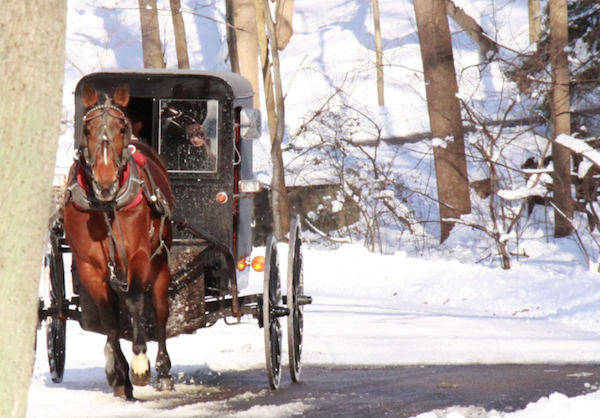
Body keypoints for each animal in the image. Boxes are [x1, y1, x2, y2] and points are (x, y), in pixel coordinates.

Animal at [64, 81, 175, 398]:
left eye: (121, 127)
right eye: (87, 129)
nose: (105, 182)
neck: (106, 207)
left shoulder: (138, 255)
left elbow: (136, 302)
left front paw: (139, 363)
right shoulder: (90, 267)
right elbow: (109, 317)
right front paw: (119, 373)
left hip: (160, 258)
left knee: (159, 309)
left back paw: (163, 370)